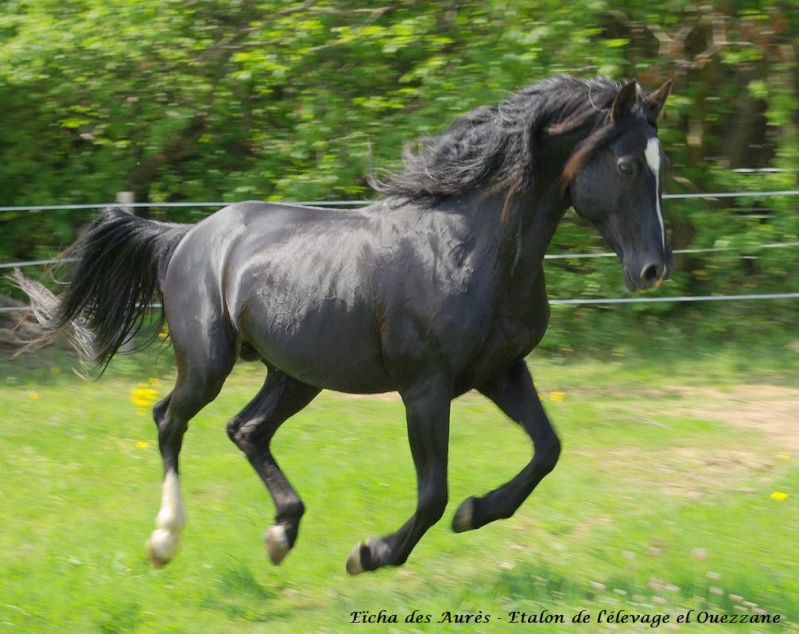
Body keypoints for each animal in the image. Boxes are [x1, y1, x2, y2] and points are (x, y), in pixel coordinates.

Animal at [15, 74, 672, 572]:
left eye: (659, 165)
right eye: (626, 165)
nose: (653, 269)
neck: (471, 244)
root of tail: (185, 236)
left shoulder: (503, 372)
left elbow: (547, 451)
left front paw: (476, 513)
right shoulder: (425, 388)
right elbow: (433, 493)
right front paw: (372, 554)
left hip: (295, 373)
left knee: (245, 429)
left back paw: (281, 534)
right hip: (207, 364)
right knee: (169, 420)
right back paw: (165, 541)